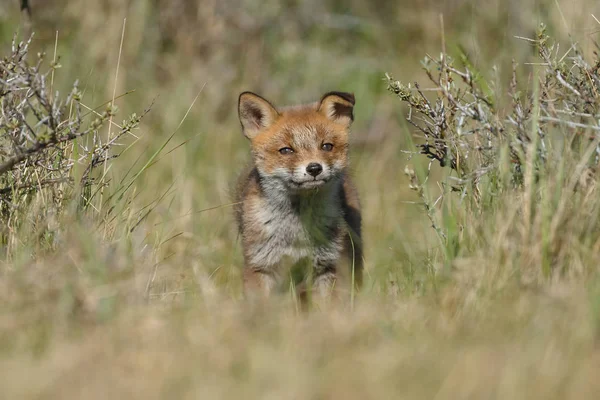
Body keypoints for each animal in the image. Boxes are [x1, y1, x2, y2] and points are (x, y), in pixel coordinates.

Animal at [234, 90, 360, 304]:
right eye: (286, 150)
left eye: (327, 146)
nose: (314, 168)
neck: (296, 229)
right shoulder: (260, 264)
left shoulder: (327, 264)